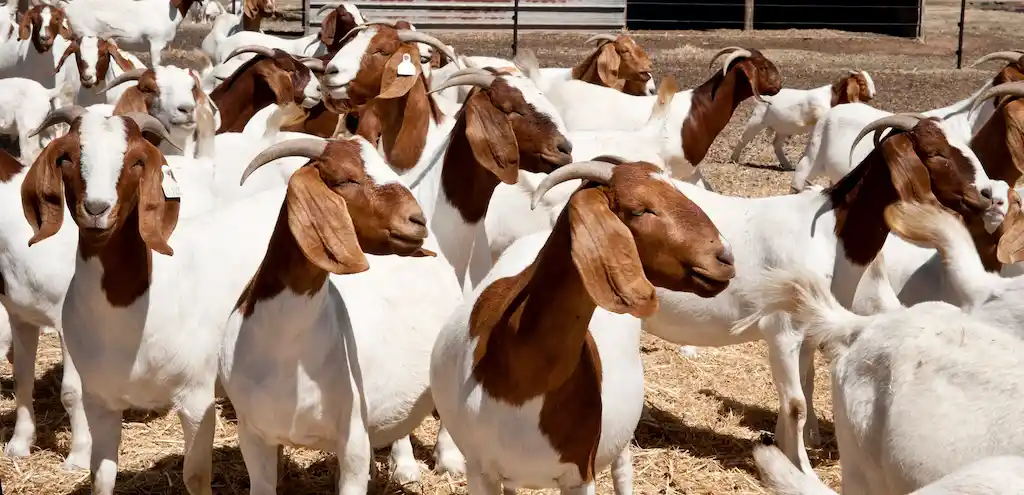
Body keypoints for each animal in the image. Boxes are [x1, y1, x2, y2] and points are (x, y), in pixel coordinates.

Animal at [730, 69, 876, 169]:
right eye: (861, 83)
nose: (873, 94)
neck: (833, 98)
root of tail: (763, 97)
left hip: (783, 128)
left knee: (776, 144)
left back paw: (787, 165)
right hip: (758, 119)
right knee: (744, 138)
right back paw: (734, 159)